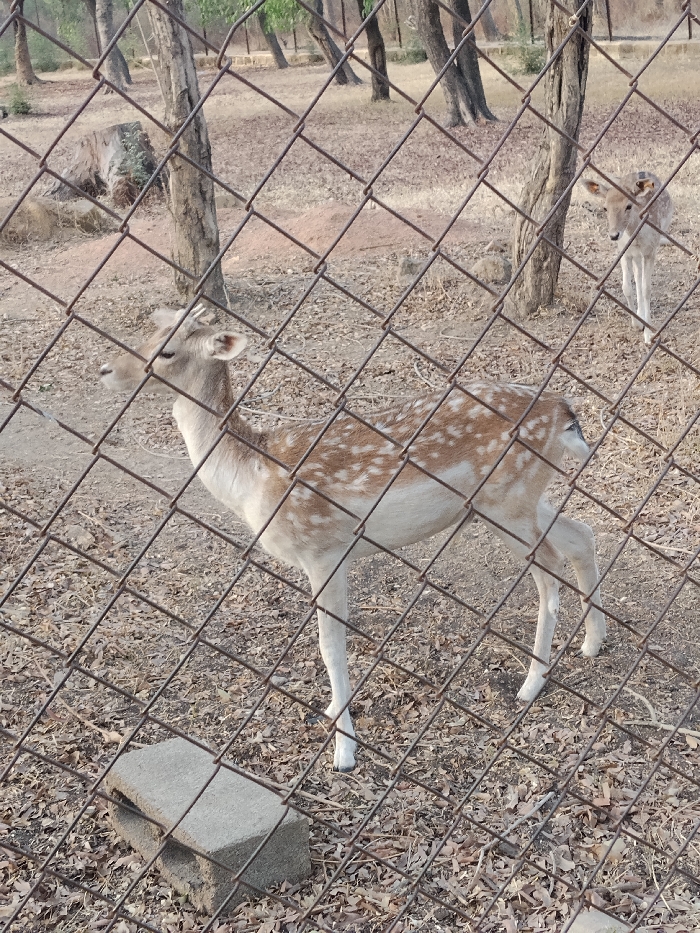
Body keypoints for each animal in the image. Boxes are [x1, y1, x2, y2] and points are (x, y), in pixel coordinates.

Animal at [99, 308, 606, 772]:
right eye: (146, 333)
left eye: (167, 351)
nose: (106, 371)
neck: (252, 479)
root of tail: (564, 411)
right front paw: (331, 715)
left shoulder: (323, 550)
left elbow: (330, 647)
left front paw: (344, 750)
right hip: (514, 499)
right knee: (581, 535)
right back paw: (592, 644)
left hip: (508, 501)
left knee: (549, 572)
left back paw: (531, 683)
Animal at [580, 171, 673, 345]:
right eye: (605, 208)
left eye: (628, 206)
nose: (614, 235)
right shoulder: (624, 251)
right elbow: (627, 287)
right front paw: (636, 324)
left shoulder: (650, 250)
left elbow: (646, 289)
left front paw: (648, 335)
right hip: (634, 255)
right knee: (637, 275)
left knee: (641, 278)